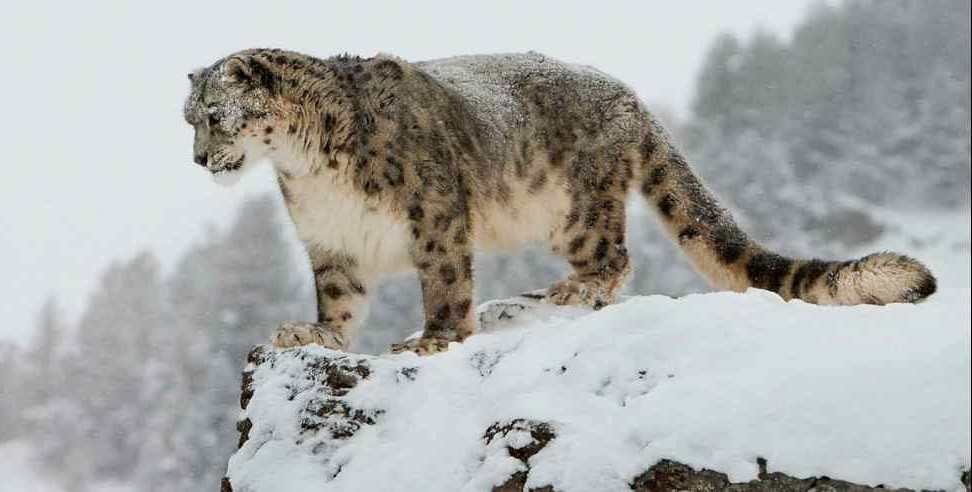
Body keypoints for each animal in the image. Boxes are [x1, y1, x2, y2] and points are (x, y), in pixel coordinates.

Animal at [180, 50, 936, 356]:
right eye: (188, 117)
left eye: (214, 116)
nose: (196, 160)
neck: (306, 168)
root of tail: (628, 95)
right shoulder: (331, 241)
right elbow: (338, 301)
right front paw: (314, 335)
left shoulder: (435, 214)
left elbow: (445, 282)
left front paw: (435, 338)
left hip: (576, 208)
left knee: (616, 257)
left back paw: (569, 291)